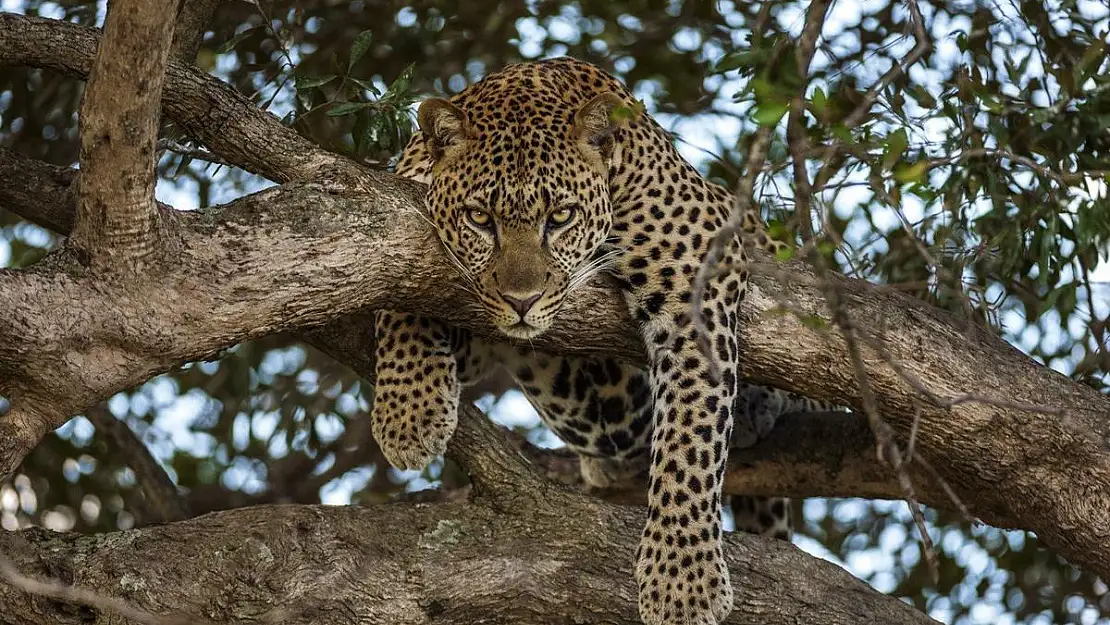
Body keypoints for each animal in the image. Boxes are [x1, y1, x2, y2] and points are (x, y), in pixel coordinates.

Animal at [368, 56, 834, 621]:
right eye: (479, 218)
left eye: (561, 216)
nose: (522, 300)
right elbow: (401, 294)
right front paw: (408, 413)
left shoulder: (699, 275)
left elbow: (690, 435)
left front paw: (683, 579)